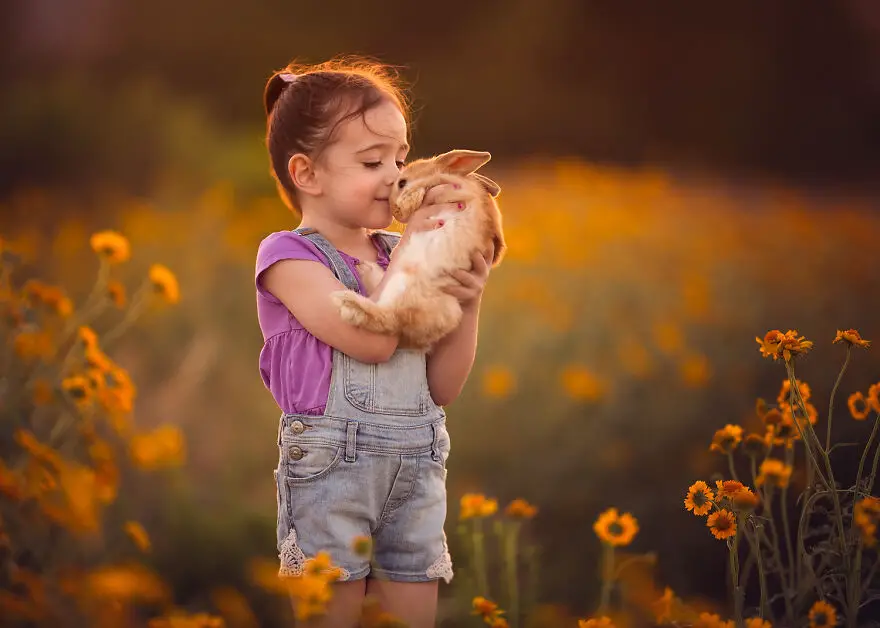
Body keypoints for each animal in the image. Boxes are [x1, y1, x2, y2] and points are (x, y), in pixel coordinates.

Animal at [330, 149, 506, 350]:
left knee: (388, 318)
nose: (396, 211)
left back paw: (347, 300)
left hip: (403, 285)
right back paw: (364, 270)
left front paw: (409, 199)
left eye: (402, 182)